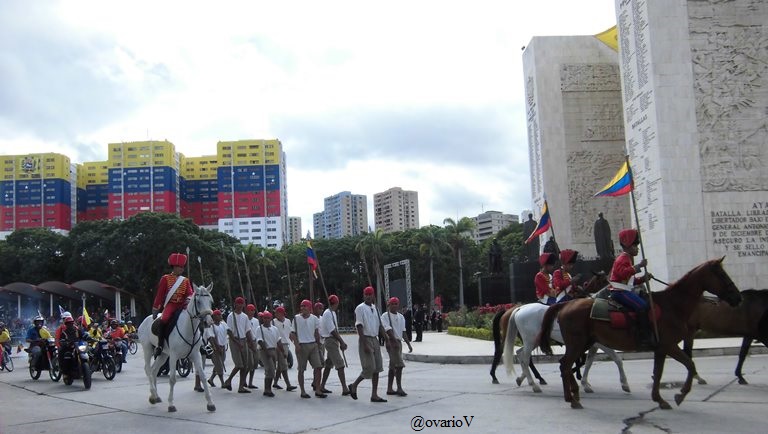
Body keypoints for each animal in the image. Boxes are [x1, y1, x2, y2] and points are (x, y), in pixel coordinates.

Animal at [137, 284, 214, 412]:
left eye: (210, 301)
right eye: (198, 302)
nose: (208, 322)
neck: (189, 328)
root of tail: (146, 320)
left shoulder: (196, 354)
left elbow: (203, 376)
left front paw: (210, 403)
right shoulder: (174, 356)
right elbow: (172, 379)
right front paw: (171, 404)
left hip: (163, 354)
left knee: (154, 370)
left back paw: (155, 396)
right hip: (148, 349)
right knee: (147, 369)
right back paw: (153, 393)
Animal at [504, 304, 632, 396]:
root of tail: (521, 308)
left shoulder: (594, 346)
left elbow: (589, 363)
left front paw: (585, 384)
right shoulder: (602, 344)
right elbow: (617, 359)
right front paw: (625, 384)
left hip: (534, 342)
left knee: (520, 354)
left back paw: (522, 379)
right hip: (530, 341)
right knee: (525, 359)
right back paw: (534, 385)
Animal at [536, 258, 740, 410]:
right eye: (721, 275)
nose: (737, 297)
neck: (672, 305)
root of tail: (565, 305)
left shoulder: (661, 348)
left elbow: (660, 371)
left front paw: (660, 398)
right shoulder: (668, 345)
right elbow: (689, 364)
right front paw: (680, 394)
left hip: (582, 343)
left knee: (565, 364)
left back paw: (569, 393)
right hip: (577, 343)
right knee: (564, 364)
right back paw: (569, 397)